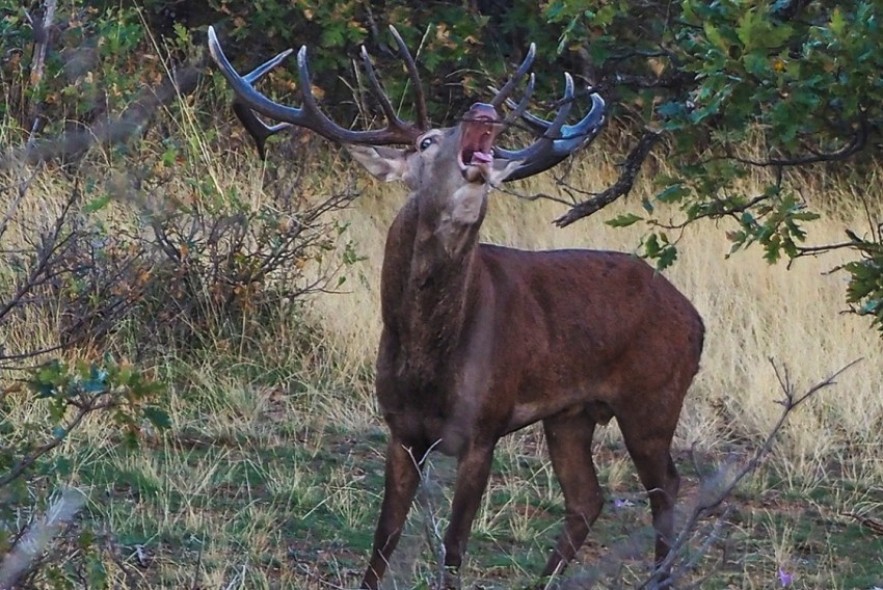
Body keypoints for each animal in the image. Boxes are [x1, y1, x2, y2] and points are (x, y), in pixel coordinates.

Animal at [207, 25, 704, 588]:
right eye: (425, 142)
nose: (483, 111)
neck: (428, 357)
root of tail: (696, 319)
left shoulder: (483, 426)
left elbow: (453, 544)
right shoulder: (400, 428)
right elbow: (384, 537)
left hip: (654, 396)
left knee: (666, 487)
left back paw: (658, 575)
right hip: (570, 414)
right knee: (587, 498)